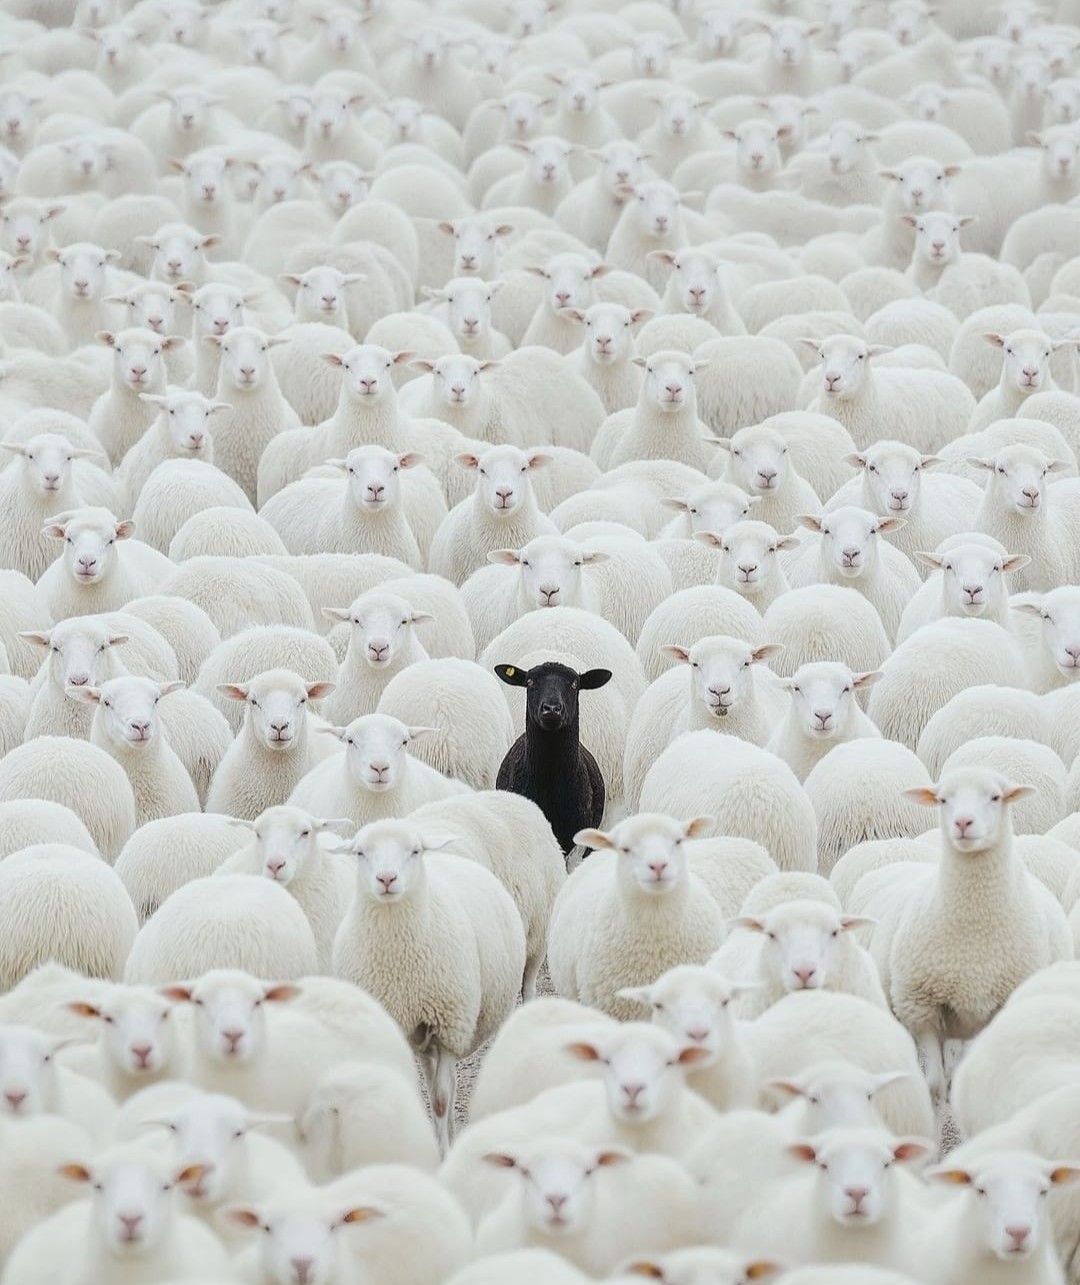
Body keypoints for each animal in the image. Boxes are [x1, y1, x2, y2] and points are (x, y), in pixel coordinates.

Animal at [331, 818, 525, 1151]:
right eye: (360, 853)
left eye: (414, 851)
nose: (386, 878)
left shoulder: (449, 1026)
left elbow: (441, 1099)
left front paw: (444, 1150)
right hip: (419, 1036)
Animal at [855, 769, 1071, 1104]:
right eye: (943, 799)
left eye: (995, 796)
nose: (963, 823)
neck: (973, 930)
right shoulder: (920, 1006)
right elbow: (933, 1081)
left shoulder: (997, 1007)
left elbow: (960, 1074)